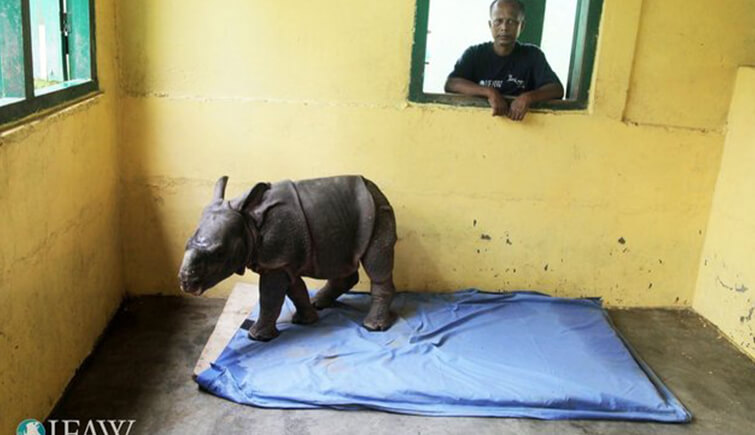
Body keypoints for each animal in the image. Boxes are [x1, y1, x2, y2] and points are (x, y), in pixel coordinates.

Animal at [179, 175, 398, 342]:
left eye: (219, 254)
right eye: (186, 243)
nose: (186, 283)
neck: (249, 222)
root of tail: (374, 188)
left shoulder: (276, 261)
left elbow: (270, 298)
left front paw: (257, 337)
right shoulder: (282, 262)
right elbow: (295, 290)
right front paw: (306, 320)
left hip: (378, 211)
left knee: (376, 264)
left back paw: (373, 327)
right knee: (340, 261)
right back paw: (319, 303)